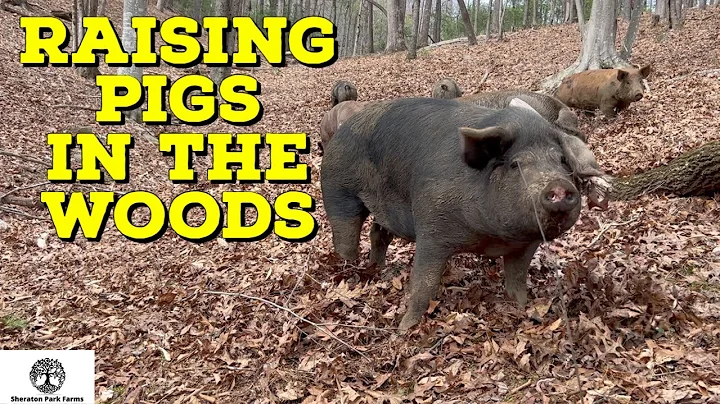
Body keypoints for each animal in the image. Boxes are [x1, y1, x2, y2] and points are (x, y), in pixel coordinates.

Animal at [321, 97, 605, 332]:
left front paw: (523, 307)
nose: (558, 187)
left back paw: (377, 268)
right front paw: (404, 329)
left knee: (378, 233)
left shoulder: (526, 244)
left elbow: (517, 278)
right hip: (337, 188)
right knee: (346, 232)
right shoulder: (431, 229)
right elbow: (423, 284)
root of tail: (340, 130)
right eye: (515, 164)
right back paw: (352, 269)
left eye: (562, 161)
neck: (491, 236)